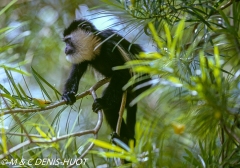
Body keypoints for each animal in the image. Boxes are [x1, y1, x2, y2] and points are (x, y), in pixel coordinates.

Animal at [62, 18, 151, 146]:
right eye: (65, 42)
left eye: (68, 40)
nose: (65, 49)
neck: (96, 48)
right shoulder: (82, 58)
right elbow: (75, 75)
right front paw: (68, 95)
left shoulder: (109, 47)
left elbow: (123, 73)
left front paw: (102, 102)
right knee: (111, 111)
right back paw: (125, 140)